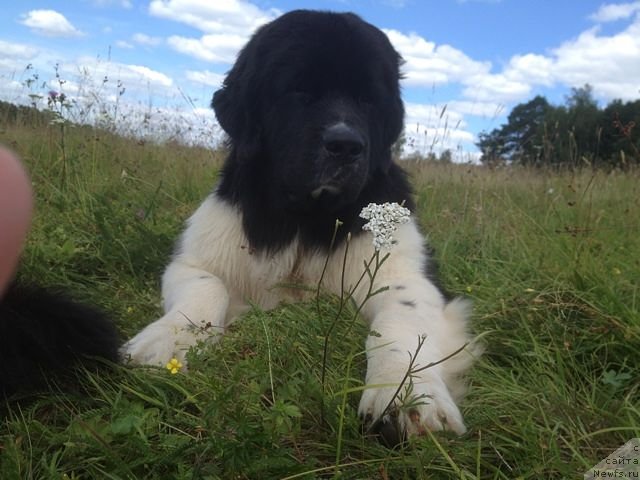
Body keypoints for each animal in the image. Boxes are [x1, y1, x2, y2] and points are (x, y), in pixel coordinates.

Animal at [122, 8, 478, 442]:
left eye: (367, 99)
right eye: (298, 91)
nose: (346, 146)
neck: (306, 218)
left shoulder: (408, 277)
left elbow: (401, 321)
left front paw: (405, 392)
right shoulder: (197, 259)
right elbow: (207, 288)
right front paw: (167, 342)